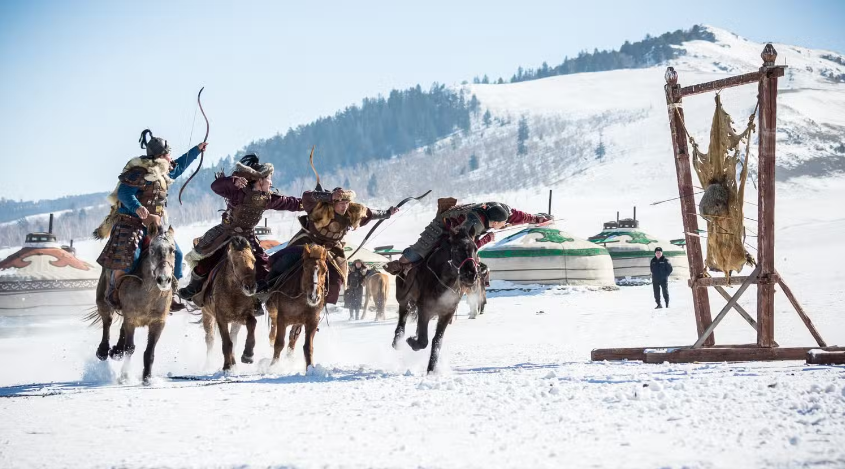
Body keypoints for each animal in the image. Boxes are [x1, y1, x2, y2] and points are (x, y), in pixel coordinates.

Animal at [89, 224, 176, 384]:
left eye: (172, 250)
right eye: (152, 250)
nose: (163, 279)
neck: (148, 295)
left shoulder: (158, 323)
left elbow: (149, 353)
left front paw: (147, 378)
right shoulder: (131, 320)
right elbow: (130, 348)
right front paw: (125, 376)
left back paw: (116, 351)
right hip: (102, 300)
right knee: (107, 321)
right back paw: (103, 351)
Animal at [199, 236, 258, 372]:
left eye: (254, 261)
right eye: (235, 263)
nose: (250, 287)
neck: (233, 294)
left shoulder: (243, 316)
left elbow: (252, 323)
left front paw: (248, 355)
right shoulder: (221, 318)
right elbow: (226, 342)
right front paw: (227, 366)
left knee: (233, 338)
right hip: (207, 316)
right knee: (210, 340)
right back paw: (209, 365)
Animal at [392, 228, 478, 372]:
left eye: (475, 248)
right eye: (457, 249)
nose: (471, 275)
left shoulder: (447, 313)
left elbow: (437, 341)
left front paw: (431, 369)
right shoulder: (424, 309)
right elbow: (423, 341)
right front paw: (411, 341)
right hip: (403, 297)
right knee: (403, 314)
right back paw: (397, 341)